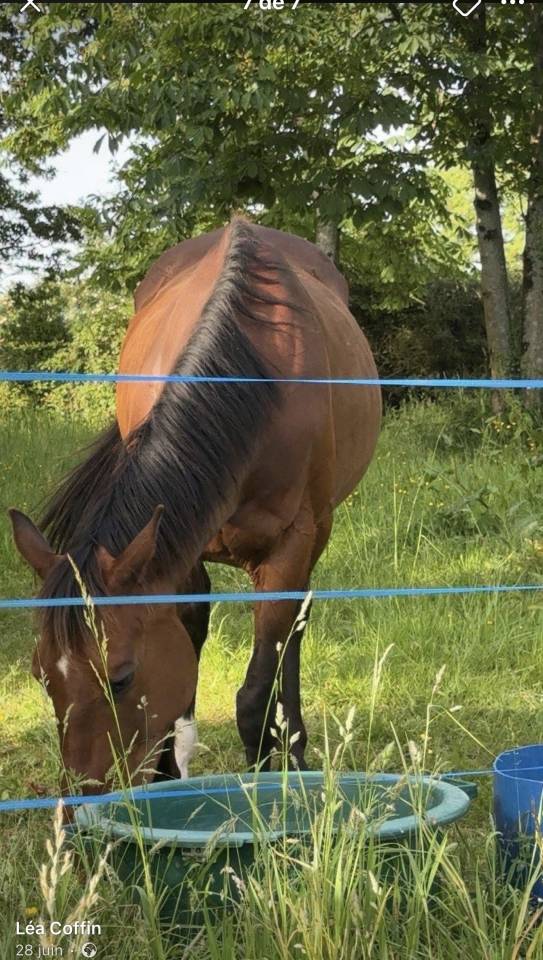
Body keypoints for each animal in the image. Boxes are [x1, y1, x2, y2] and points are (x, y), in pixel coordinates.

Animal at [9, 217, 381, 795]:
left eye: (121, 678)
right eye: (42, 677)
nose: (81, 796)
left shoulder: (292, 544)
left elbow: (255, 693)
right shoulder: (173, 550)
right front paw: (168, 776)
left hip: (315, 535)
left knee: (294, 629)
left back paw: (294, 748)